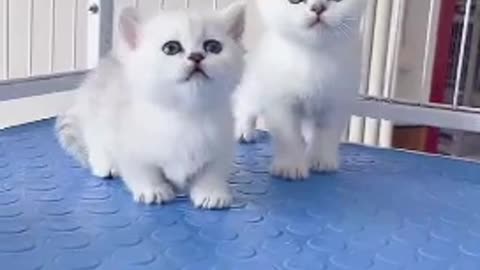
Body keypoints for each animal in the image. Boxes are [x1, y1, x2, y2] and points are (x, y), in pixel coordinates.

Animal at [56, 2, 246, 209]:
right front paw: (153, 190)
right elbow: (142, 170)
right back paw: (106, 165)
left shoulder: (222, 144)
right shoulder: (128, 143)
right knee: (96, 144)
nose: (196, 56)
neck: (186, 114)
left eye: (213, 46)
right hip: (96, 120)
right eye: (171, 47)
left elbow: (213, 171)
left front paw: (211, 192)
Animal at [234, 0, 366, 181]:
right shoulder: (280, 102)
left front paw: (321, 159)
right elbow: (289, 135)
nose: (318, 7)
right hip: (254, 87)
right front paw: (290, 166)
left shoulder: (336, 102)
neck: (313, 57)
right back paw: (243, 130)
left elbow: (326, 133)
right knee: (245, 105)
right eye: (295, 1)